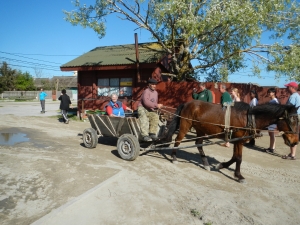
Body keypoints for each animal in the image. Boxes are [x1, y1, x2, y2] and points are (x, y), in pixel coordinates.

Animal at [165, 100, 298, 183]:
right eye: (293, 120)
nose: (296, 142)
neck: (249, 118)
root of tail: (187, 103)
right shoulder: (238, 141)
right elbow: (238, 158)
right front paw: (239, 176)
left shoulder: (238, 141)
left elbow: (235, 157)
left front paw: (221, 165)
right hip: (185, 126)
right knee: (177, 140)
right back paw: (174, 157)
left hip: (201, 129)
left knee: (199, 144)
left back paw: (206, 164)